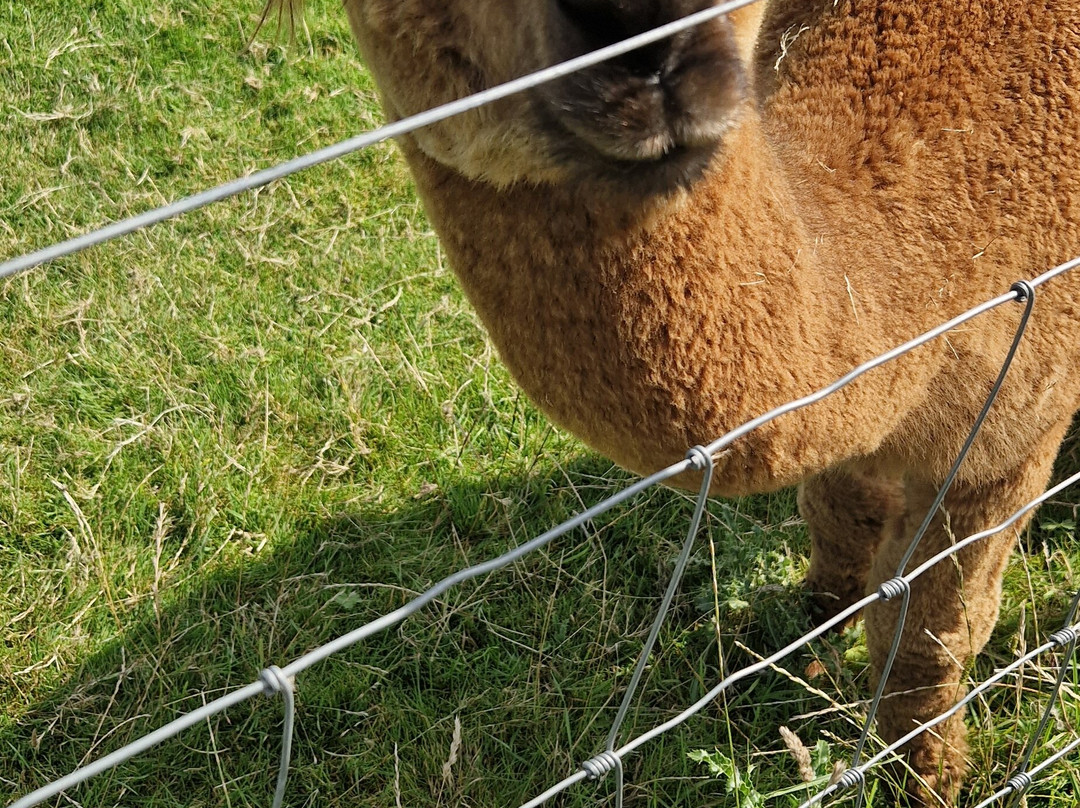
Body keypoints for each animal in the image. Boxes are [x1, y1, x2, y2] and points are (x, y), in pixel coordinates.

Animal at [269, 0, 1080, 801]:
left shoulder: (1011, 425)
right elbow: (840, 520)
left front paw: (928, 782)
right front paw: (810, 640)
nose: (640, 36)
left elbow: (926, 641)